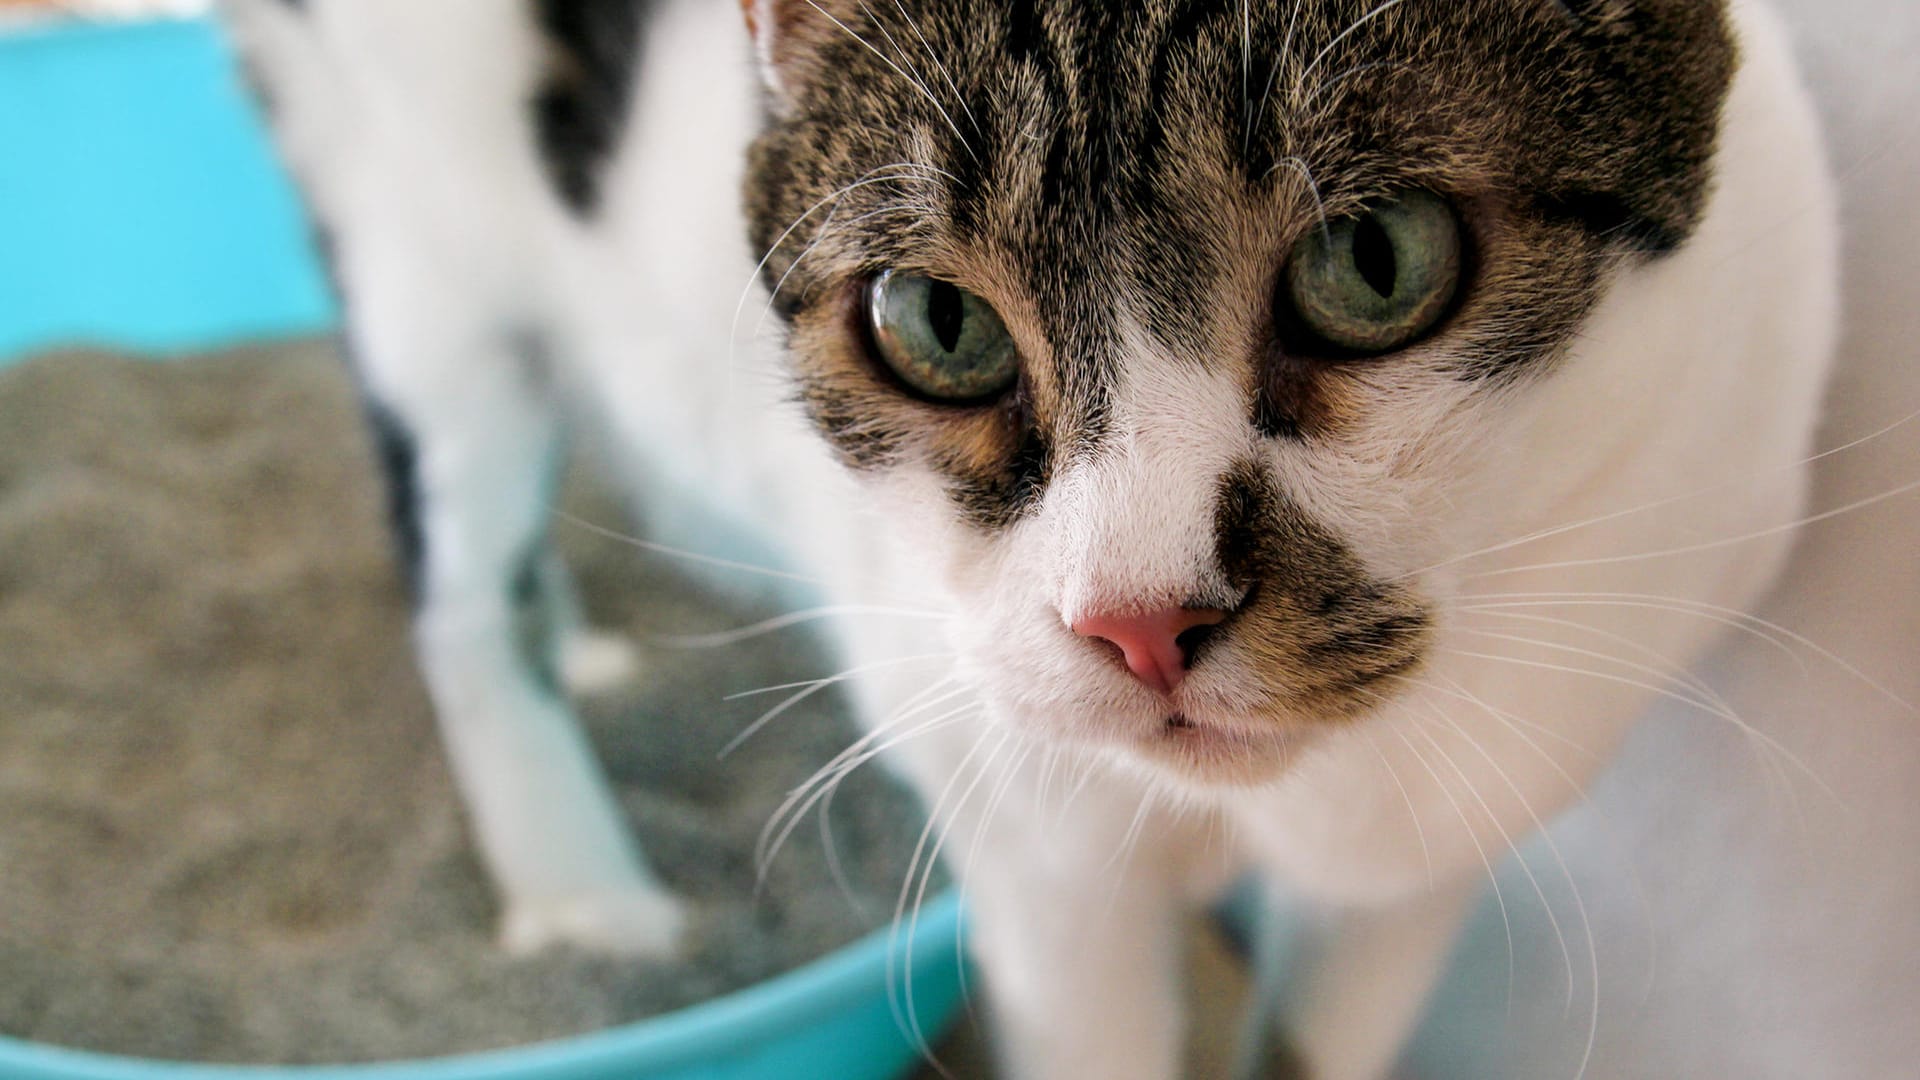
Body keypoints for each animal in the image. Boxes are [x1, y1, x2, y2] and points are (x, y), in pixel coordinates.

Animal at [220, 0, 1920, 1068]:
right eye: (937, 323)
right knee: (460, 593)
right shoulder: (1042, 858)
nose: (1138, 618)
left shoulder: (1414, 864)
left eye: (1377, 260)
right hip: (420, 256)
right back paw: (587, 903)